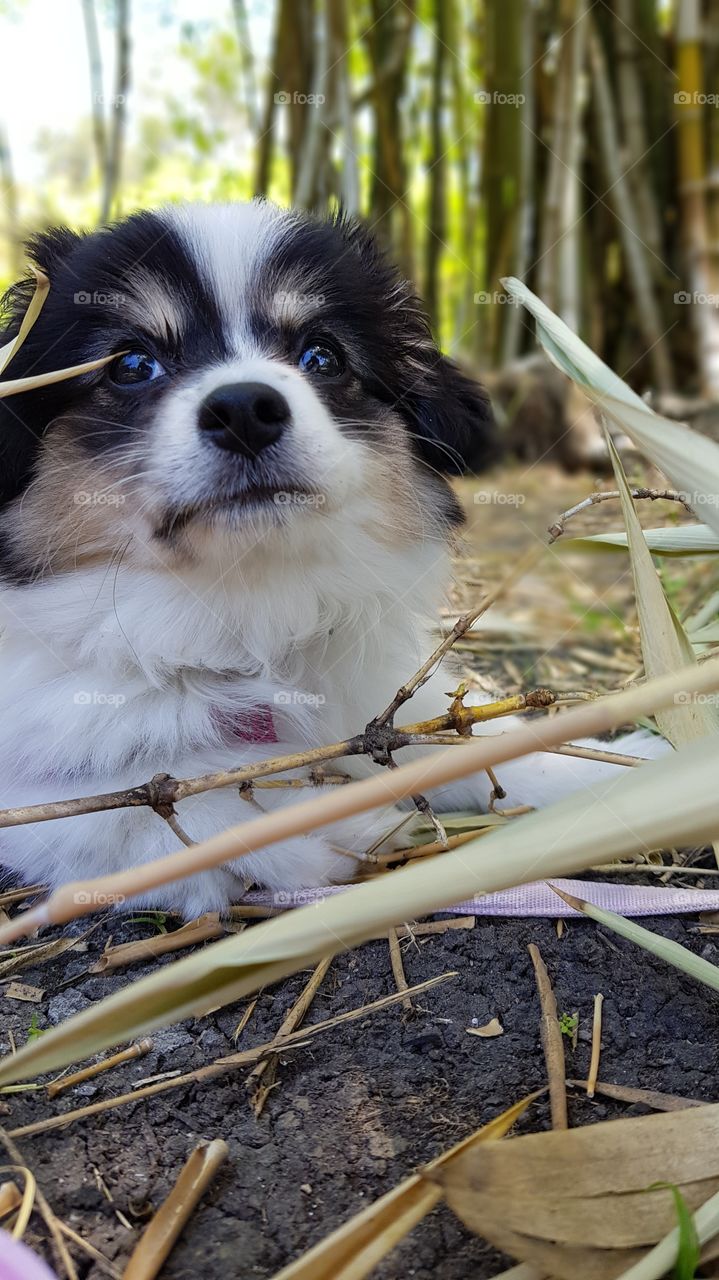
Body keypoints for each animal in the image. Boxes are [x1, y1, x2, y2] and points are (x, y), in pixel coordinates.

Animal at [0, 204, 660, 916]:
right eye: (129, 365)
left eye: (322, 356)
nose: (244, 409)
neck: (246, 612)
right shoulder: (41, 784)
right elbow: (136, 812)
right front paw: (332, 824)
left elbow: (482, 745)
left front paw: (617, 766)